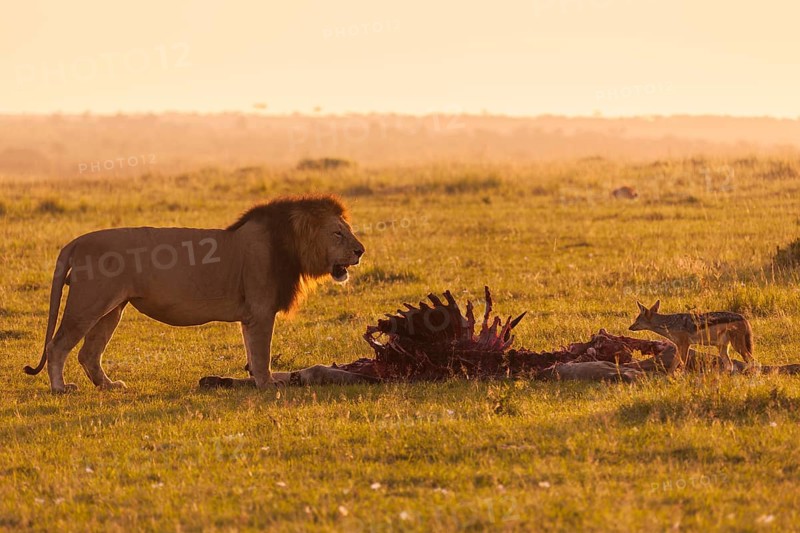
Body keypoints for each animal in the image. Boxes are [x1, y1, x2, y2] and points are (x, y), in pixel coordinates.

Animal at [24, 195, 365, 393]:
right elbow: (262, 354)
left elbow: (252, 353)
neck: (290, 245)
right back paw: (60, 388)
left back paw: (109, 386)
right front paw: (269, 385)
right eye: (338, 233)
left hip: (112, 309)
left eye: (349, 231)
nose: (361, 251)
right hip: (88, 303)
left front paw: (256, 381)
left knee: (88, 353)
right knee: (57, 346)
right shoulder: (261, 311)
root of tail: (75, 242)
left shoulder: (250, 317)